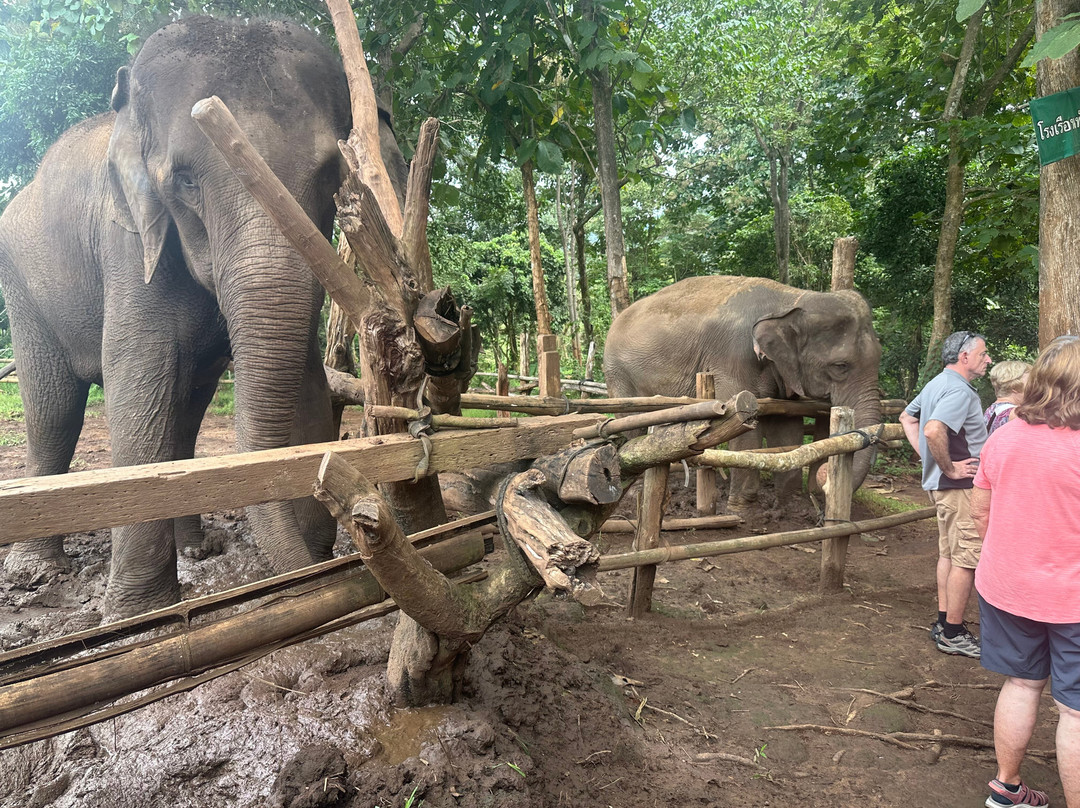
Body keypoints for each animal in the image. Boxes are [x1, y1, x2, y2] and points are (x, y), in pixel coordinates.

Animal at [0, 16, 408, 617]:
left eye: (330, 175)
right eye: (186, 181)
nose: (323, 564)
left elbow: (305, 380)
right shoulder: (129, 246)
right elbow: (136, 379)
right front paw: (138, 615)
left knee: (186, 411)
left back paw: (198, 549)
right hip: (25, 294)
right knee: (55, 411)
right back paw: (37, 574)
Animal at [603, 275, 883, 510]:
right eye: (840, 366)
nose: (823, 477)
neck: (790, 299)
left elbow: (786, 425)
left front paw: (787, 506)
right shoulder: (733, 357)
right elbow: (742, 420)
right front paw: (740, 507)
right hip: (618, 374)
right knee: (630, 424)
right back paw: (634, 490)